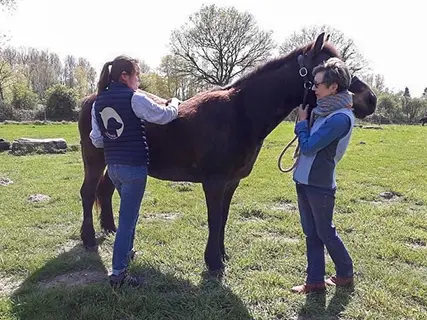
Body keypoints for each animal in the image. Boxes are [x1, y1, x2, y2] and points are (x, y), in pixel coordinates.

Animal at [77, 33, 378, 272]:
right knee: (88, 192)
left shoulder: (230, 183)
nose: (371, 99)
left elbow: (222, 219)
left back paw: (110, 229)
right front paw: (213, 263)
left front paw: (221, 256)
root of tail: (94, 97)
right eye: (328, 68)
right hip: (94, 160)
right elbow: (213, 219)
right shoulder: (214, 182)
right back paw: (89, 239)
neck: (240, 113)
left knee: (105, 190)